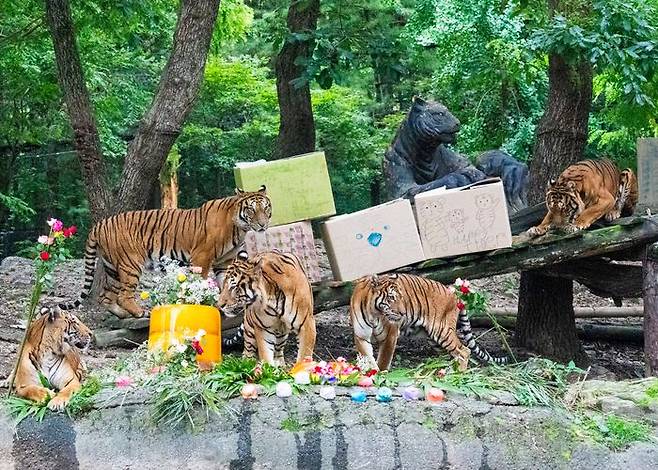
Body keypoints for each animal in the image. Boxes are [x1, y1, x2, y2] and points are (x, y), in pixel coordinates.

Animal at [57, 187, 270, 320]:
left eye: (266, 208)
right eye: (251, 210)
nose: (262, 224)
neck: (239, 227)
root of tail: (99, 224)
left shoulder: (224, 262)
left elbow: (225, 282)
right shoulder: (201, 257)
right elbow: (199, 282)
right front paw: (203, 302)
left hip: (112, 269)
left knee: (105, 297)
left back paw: (124, 315)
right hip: (131, 264)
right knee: (123, 296)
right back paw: (140, 313)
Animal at [348, 274, 508, 372]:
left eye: (402, 297)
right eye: (391, 298)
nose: (403, 313)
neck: (374, 312)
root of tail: (454, 293)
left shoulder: (390, 336)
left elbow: (383, 359)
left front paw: (381, 374)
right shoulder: (361, 336)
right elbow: (367, 356)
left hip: (442, 331)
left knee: (464, 351)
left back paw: (458, 375)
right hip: (434, 339)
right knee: (450, 355)